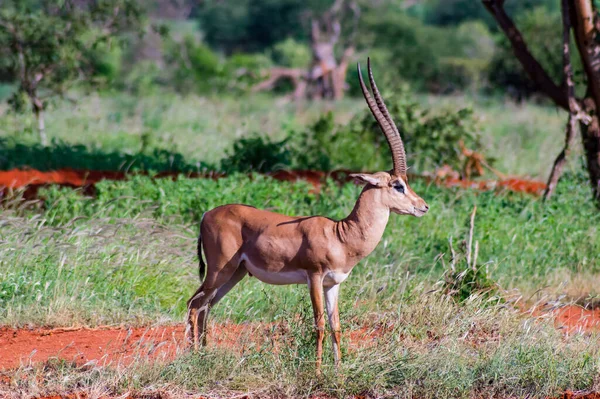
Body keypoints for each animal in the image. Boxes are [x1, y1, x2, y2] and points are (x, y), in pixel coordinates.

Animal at [185, 59, 428, 372]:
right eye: (398, 185)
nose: (423, 206)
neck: (342, 235)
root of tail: (207, 214)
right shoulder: (314, 277)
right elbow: (319, 324)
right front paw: (317, 370)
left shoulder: (333, 284)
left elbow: (337, 326)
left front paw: (338, 371)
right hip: (218, 271)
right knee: (194, 304)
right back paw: (191, 358)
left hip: (235, 274)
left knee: (206, 306)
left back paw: (205, 356)